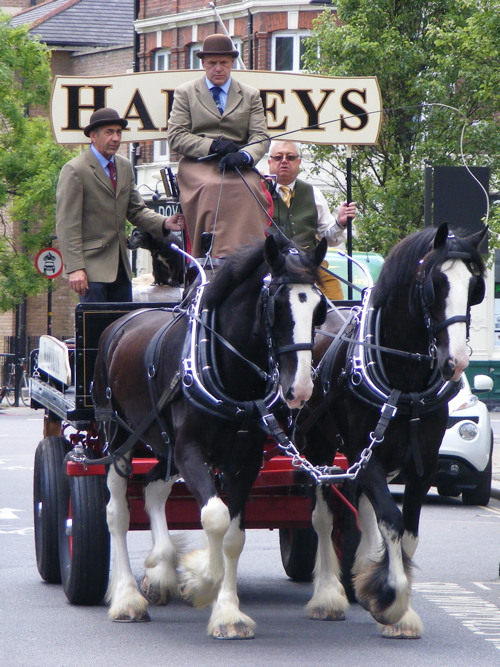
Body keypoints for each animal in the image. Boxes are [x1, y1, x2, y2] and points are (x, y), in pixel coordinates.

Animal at [93, 237, 328, 640]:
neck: (226, 370)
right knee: (117, 512)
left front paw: (227, 613)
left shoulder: (244, 461)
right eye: (277, 307)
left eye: (318, 308)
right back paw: (126, 598)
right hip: (118, 437)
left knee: (154, 488)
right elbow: (215, 517)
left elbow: (233, 536)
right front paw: (201, 580)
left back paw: (161, 564)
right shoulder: (190, 452)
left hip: (162, 444)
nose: (299, 389)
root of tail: (120, 323)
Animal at [298, 226, 486, 640]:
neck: (406, 381)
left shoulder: (422, 466)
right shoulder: (364, 456)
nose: (456, 361)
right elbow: (391, 520)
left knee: (364, 511)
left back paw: (364, 570)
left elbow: (407, 531)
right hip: (318, 447)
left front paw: (388, 598)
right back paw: (327, 595)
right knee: (323, 517)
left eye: (475, 286)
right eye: (435, 284)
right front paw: (392, 602)